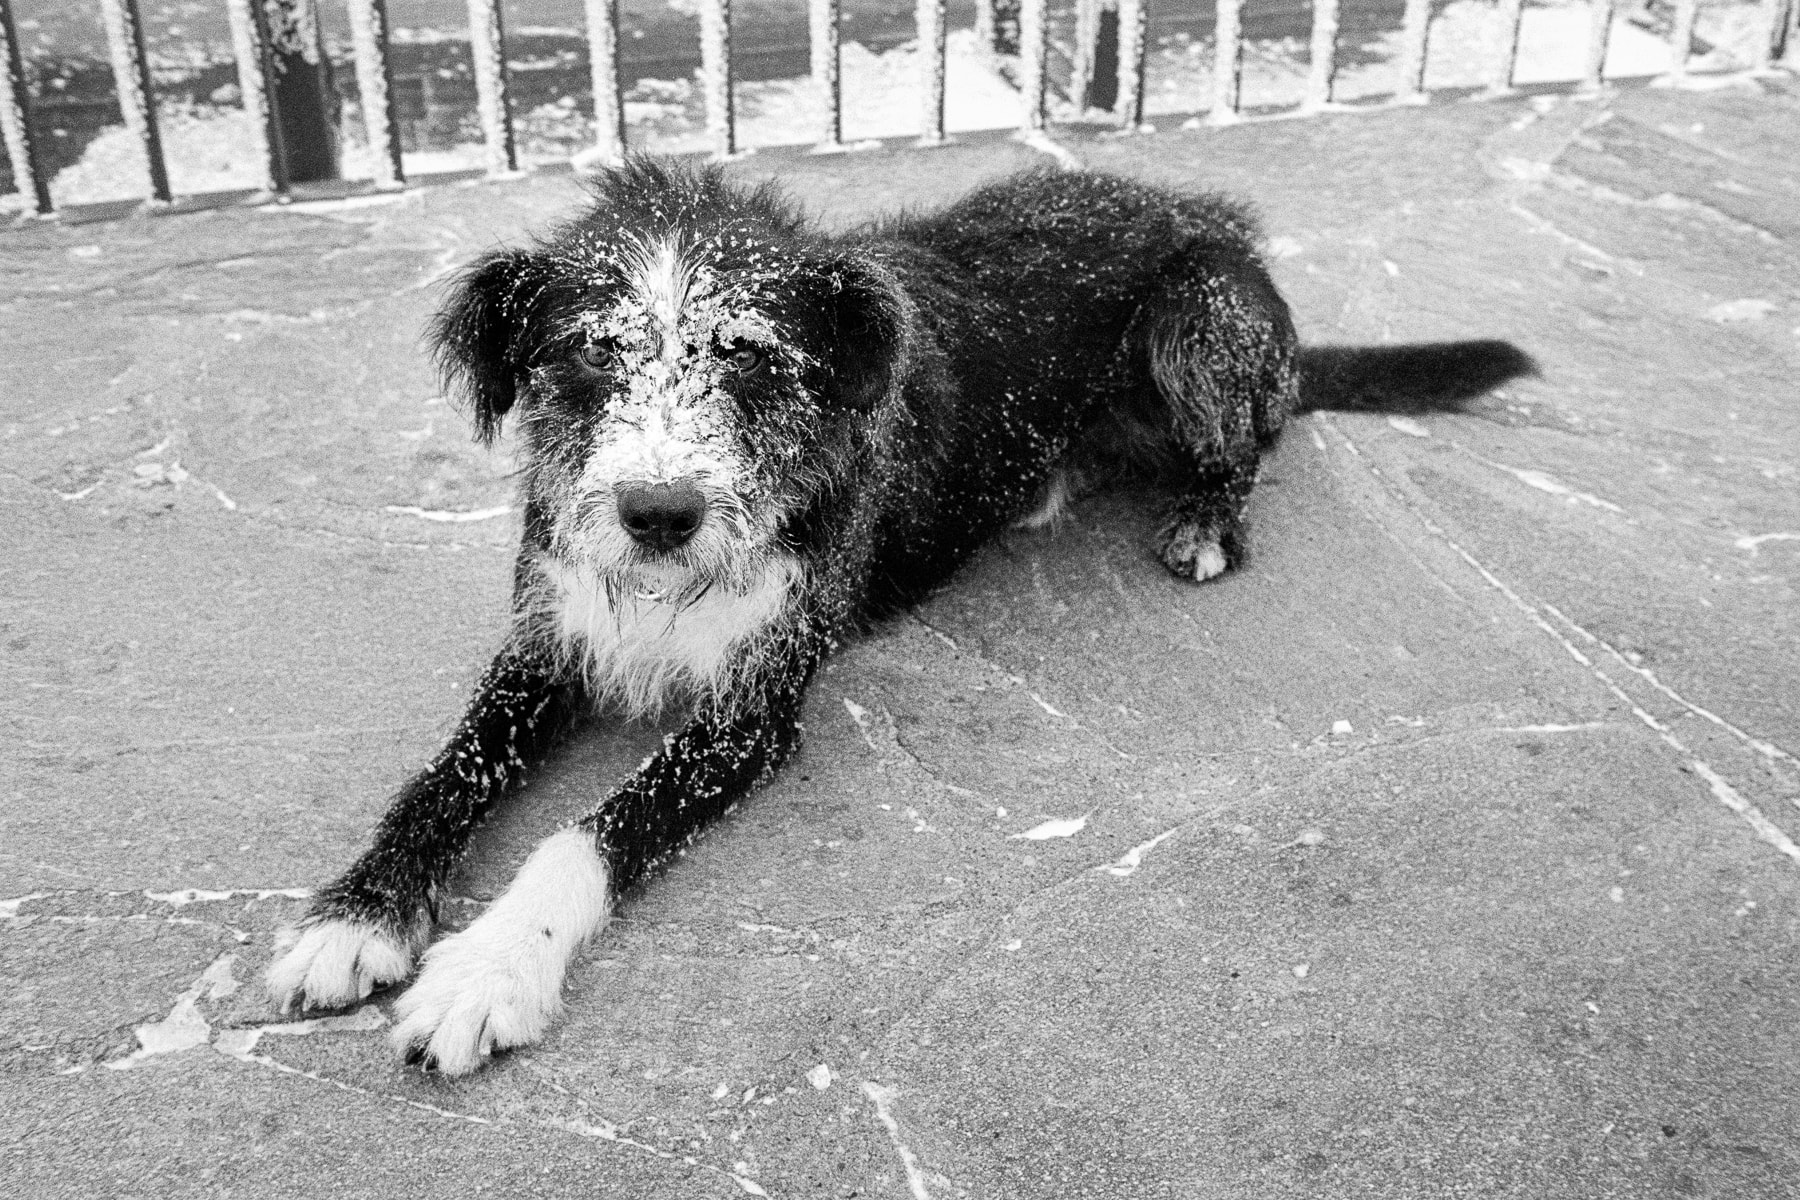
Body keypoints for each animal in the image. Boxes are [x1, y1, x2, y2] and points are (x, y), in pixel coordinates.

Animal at [266, 157, 1533, 1072]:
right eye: (590, 351)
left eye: (748, 354)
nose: (658, 515)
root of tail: (1213, 218)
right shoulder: (548, 644)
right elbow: (444, 775)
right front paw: (360, 911)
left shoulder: (753, 713)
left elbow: (584, 836)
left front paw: (487, 973)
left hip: (1202, 319)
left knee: (1245, 445)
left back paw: (1205, 517)